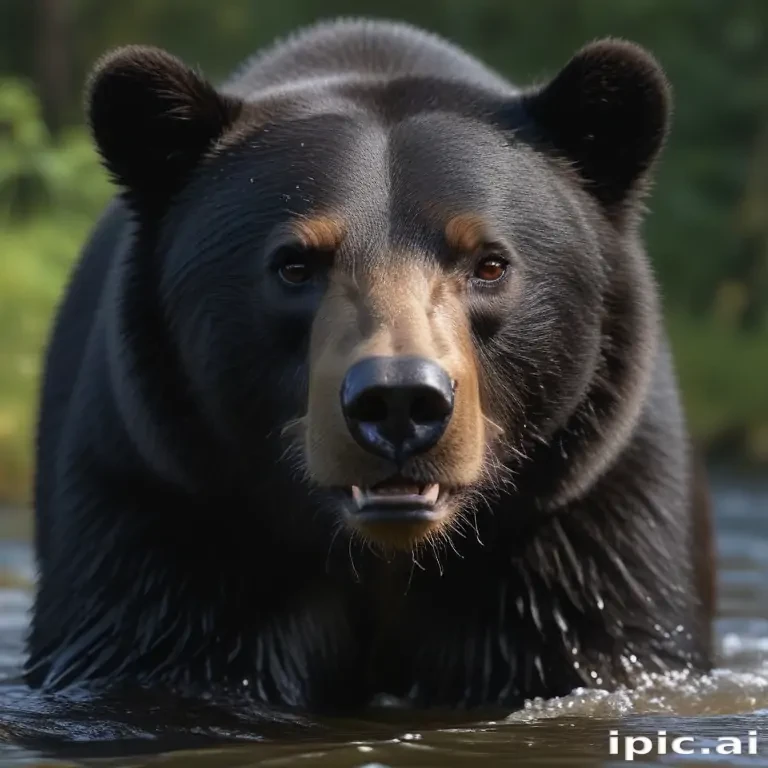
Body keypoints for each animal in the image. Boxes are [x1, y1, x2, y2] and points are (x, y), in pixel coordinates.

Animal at [26, 18, 714, 712]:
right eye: (294, 264)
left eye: (489, 263)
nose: (400, 402)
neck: (387, 558)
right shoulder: (159, 504)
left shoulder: (585, 521)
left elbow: (595, 638)